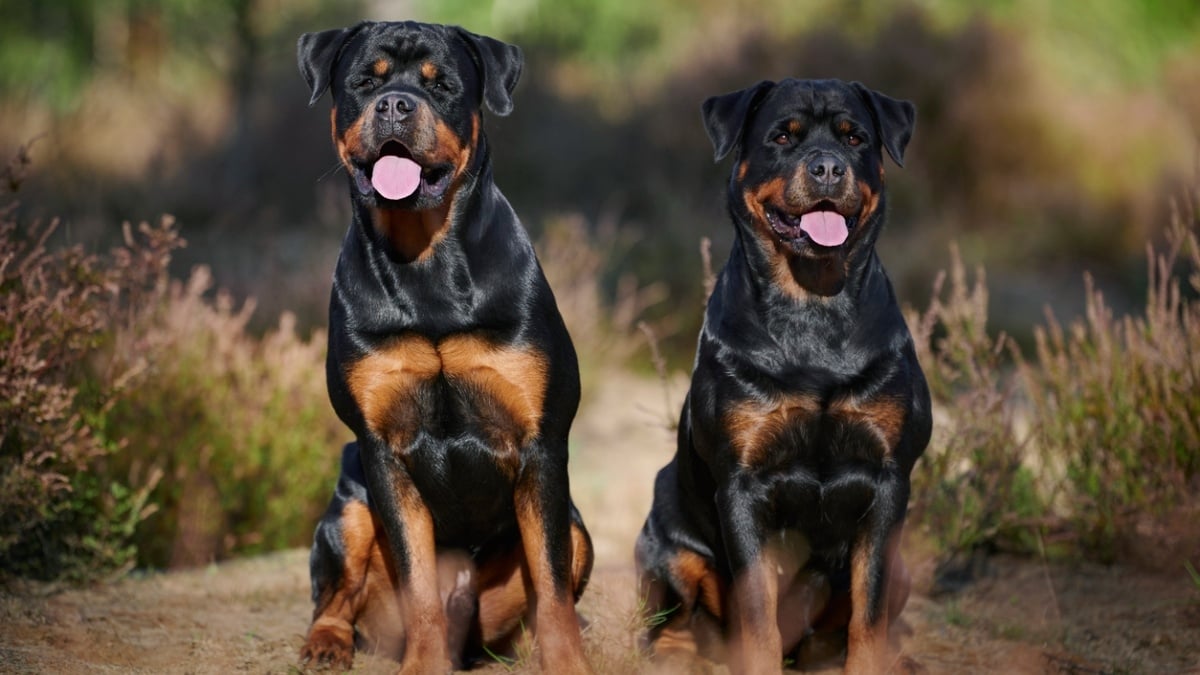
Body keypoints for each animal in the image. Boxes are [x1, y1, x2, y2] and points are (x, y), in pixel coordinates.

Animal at [296, 21, 595, 672]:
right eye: (366, 81)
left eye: (443, 86)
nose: (395, 104)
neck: (425, 259)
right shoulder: (381, 451)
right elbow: (418, 584)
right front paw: (423, 662)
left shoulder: (542, 443)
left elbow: (551, 581)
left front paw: (567, 659)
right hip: (347, 509)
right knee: (335, 594)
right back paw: (325, 642)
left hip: (578, 528)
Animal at [633, 79, 931, 672]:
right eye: (782, 137)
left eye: (855, 138)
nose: (828, 167)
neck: (811, 305)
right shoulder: (742, 485)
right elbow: (756, 610)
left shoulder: (888, 480)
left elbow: (869, 610)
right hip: (664, 542)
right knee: (673, 615)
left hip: (903, 568)